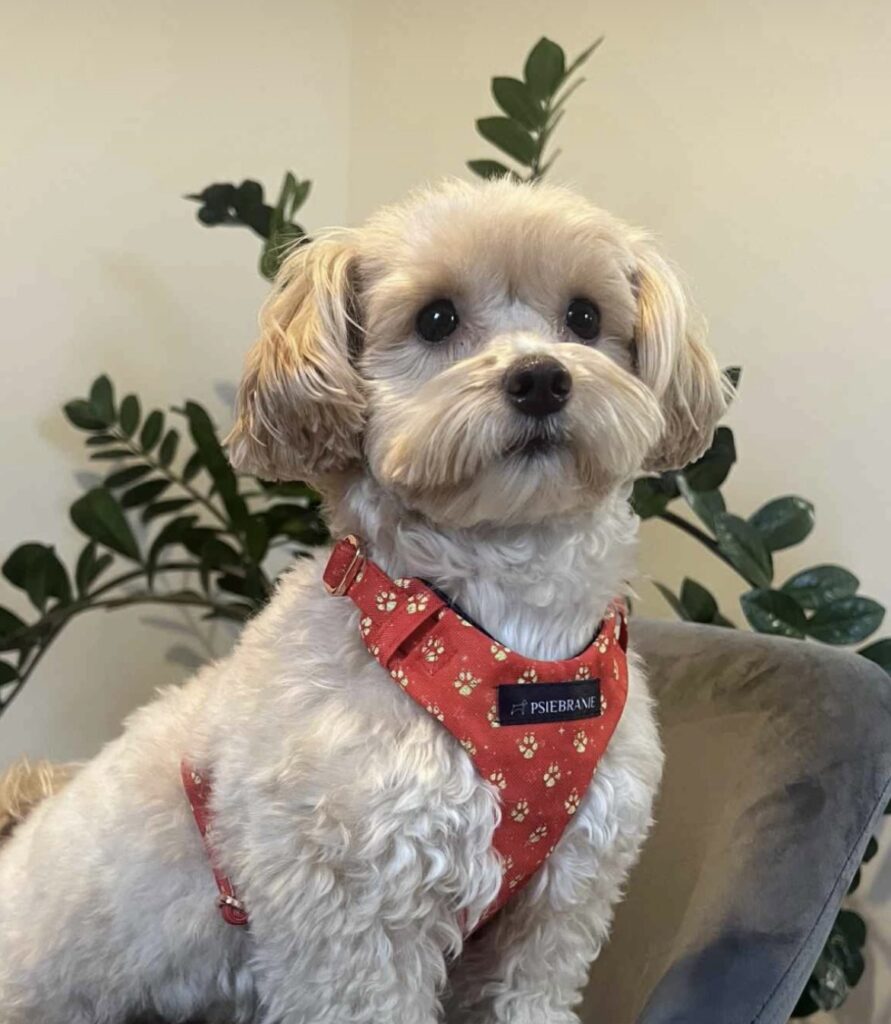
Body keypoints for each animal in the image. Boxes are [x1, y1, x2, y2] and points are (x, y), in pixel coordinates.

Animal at [0, 178, 726, 1023]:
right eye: (435, 319)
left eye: (583, 316)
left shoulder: (558, 906)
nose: (542, 378)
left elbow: (534, 990)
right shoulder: (352, 917)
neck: (504, 636)